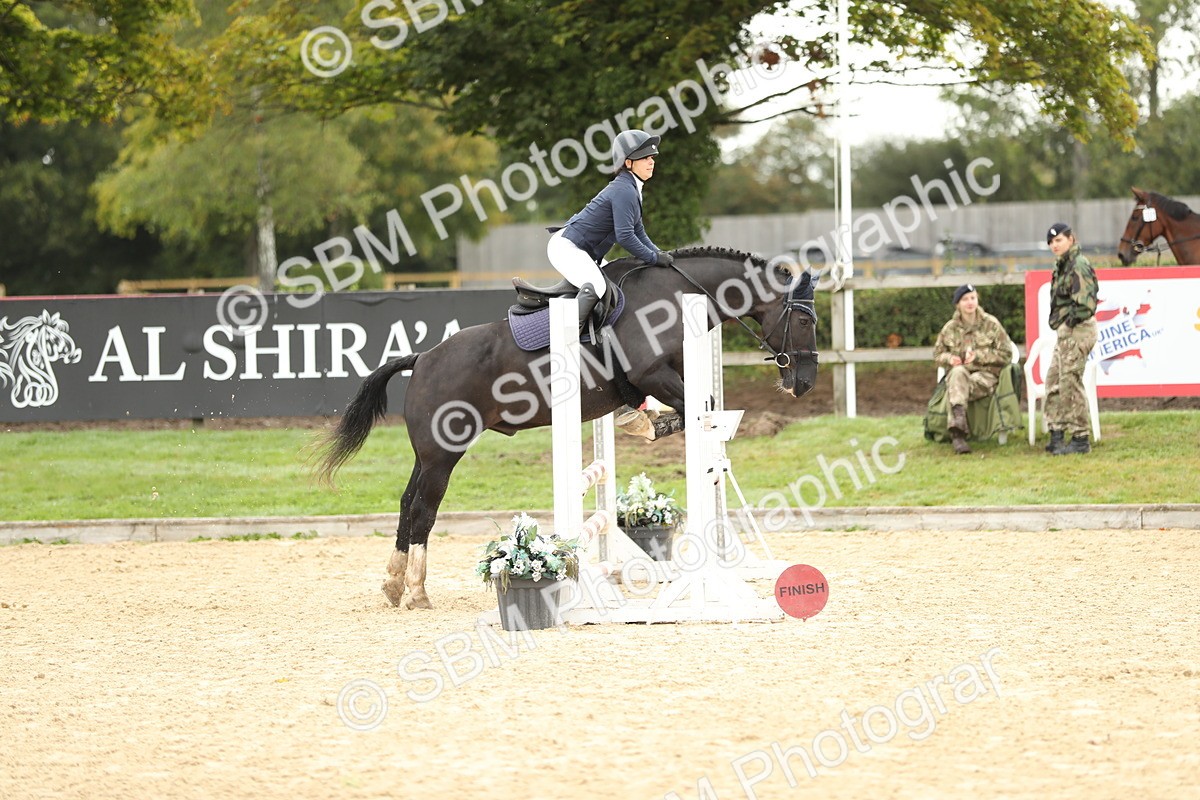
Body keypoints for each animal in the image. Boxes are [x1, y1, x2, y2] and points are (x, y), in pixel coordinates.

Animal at [314, 246, 819, 609]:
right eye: (802, 318)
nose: (805, 383)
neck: (677, 295)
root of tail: (423, 358)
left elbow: (697, 411)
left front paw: (645, 423)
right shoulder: (654, 374)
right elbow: (695, 411)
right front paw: (650, 426)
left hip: (427, 453)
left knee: (406, 503)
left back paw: (393, 584)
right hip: (444, 452)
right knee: (423, 509)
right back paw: (417, 592)